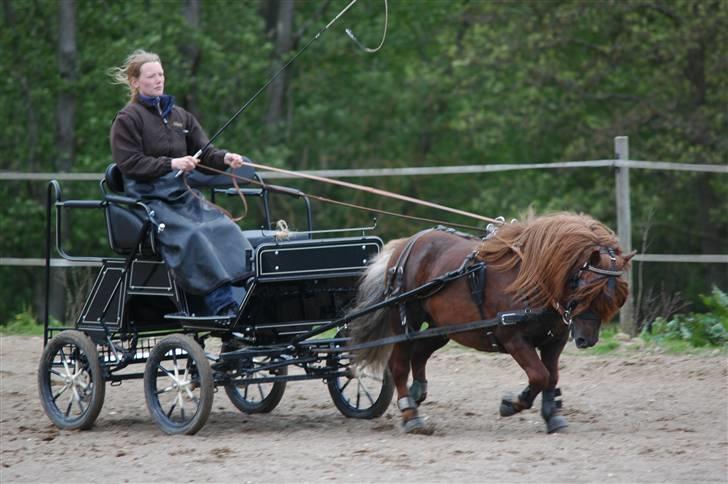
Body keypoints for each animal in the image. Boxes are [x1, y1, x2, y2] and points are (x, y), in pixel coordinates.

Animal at [346, 214, 632, 432]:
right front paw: (511, 404)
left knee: (419, 353)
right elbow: (539, 375)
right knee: (398, 365)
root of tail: (406, 245)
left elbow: (551, 377)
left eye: (615, 297)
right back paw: (410, 415)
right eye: (586, 289)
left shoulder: (555, 340)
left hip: (443, 327)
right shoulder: (513, 338)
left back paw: (417, 393)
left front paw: (553, 416)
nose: (587, 340)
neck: (534, 279)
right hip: (406, 322)